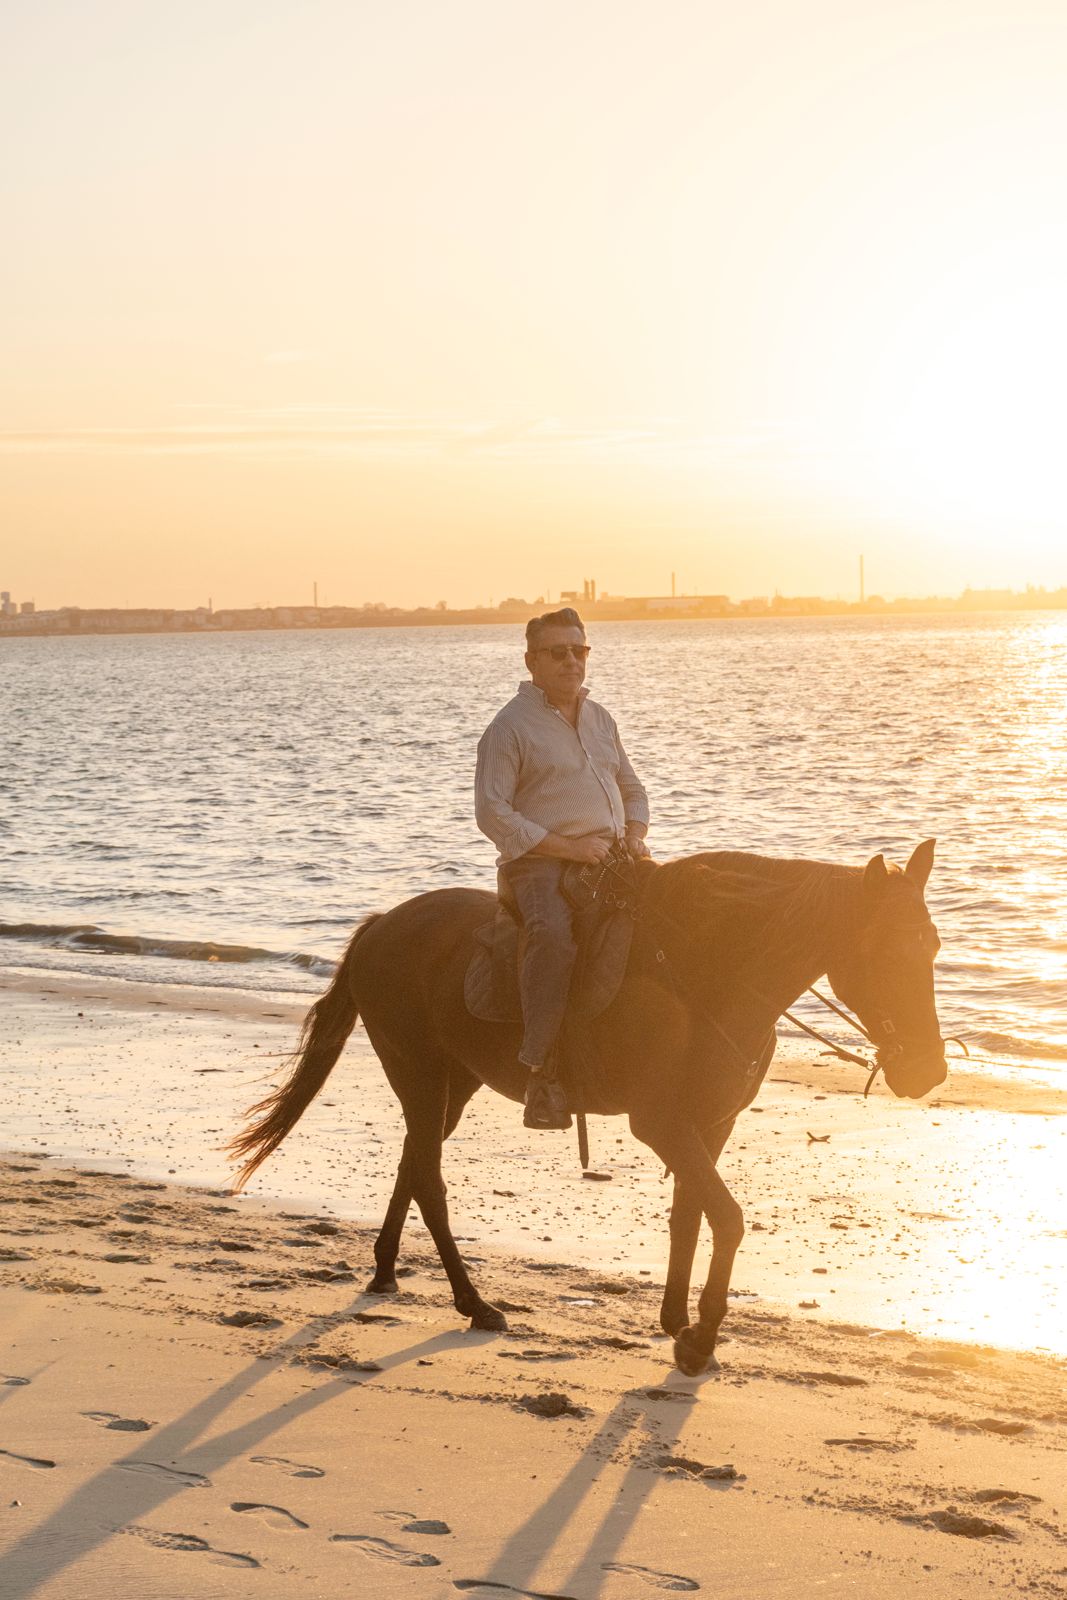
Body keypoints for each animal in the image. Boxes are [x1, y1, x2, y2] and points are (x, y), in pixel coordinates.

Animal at [230, 841, 947, 1375]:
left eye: (934, 947)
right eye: (885, 951)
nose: (928, 1070)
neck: (707, 975)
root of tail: (383, 925)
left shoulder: (712, 1123)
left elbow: (690, 1215)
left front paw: (676, 1321)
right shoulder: (659, 1123)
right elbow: (728, 1218)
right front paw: (701, 1339)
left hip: (451, 1087)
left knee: (412, 1164)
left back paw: (385, 1271)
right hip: (420, 1076)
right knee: (429, 1181)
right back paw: (474, 1303)